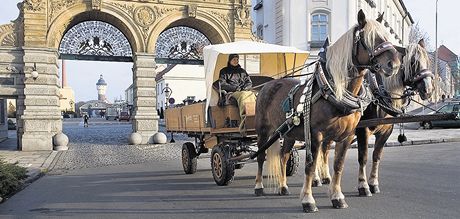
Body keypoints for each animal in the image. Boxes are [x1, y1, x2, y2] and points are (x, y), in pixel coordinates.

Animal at [253, 9, 400, 212]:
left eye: (387, 36)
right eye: (369, 38)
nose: (394, 64)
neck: (334, 92)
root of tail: (267, 85)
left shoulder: (347, 136)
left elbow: (338, 165)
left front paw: (337, 197)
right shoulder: (315, 135)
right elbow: (310, 165)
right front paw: (308, 200)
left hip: (289, 134)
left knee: (283, 156)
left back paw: (283, 187)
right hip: (263, 131)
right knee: (260, 156)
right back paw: (259, 187)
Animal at [318, 38, 434, 196]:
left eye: (428, 61)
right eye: (413, 62)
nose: (428, 90)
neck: (378, 93)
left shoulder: (386, 132)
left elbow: (376, 156)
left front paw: (373, 183)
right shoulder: (363, 130)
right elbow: (363, 157)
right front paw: (363, 186)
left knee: (323, 149)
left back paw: (324, 177)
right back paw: (316, 178)